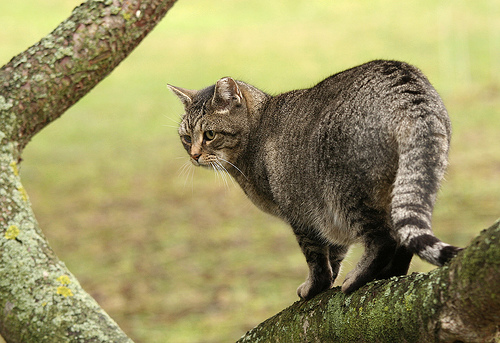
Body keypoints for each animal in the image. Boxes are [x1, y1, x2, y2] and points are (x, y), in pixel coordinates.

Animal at [167, 60, 460, 300]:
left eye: (209, 135)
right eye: (186, 138)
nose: (194, 155)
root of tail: (407, 88)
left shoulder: (301, 214)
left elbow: (316, 259)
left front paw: (315, 287)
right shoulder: (327, 219)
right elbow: (335, 254)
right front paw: (329, 280)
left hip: (347, 192)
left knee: (384, 238)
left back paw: (359, 278)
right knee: (401, 238)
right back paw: (391, 274)